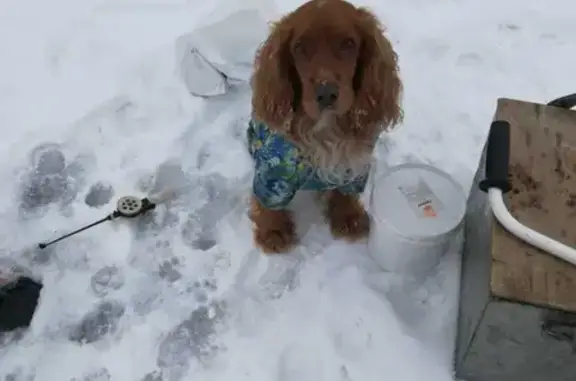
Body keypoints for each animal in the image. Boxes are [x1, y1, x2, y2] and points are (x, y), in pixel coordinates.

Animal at [246, 0, 400, 255]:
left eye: (348, 43)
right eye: (299, 47)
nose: (326, 93)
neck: (325, 129)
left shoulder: (354, 166)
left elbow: (345, 193)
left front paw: (348, 218)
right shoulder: (272, 174)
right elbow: (269, 204)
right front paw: (274, 232)